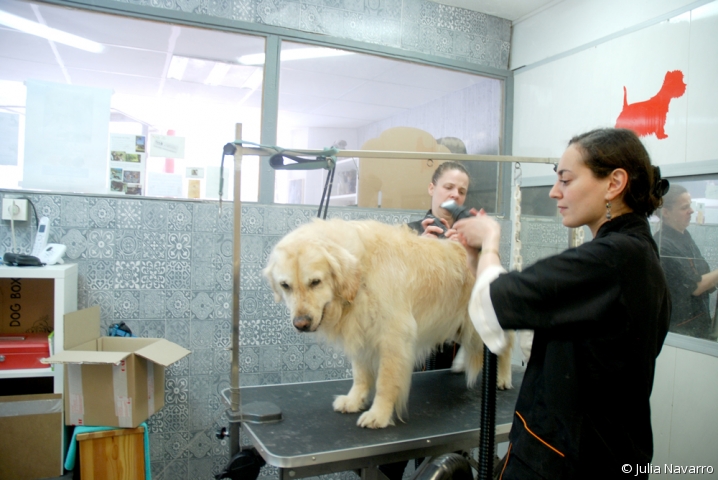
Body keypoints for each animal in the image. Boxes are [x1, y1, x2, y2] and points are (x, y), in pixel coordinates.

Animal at [262, 218, 512, 428]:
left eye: (315, 282)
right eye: (285, 285)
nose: (301, 324)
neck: (362, 274)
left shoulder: (394, 337)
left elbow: (385, 382)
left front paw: (379, 415)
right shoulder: (361, 332)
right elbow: (361, 375)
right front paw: (354, 400)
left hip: (479, 322)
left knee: (505, 346)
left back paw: (503, 377)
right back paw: (460, 364)